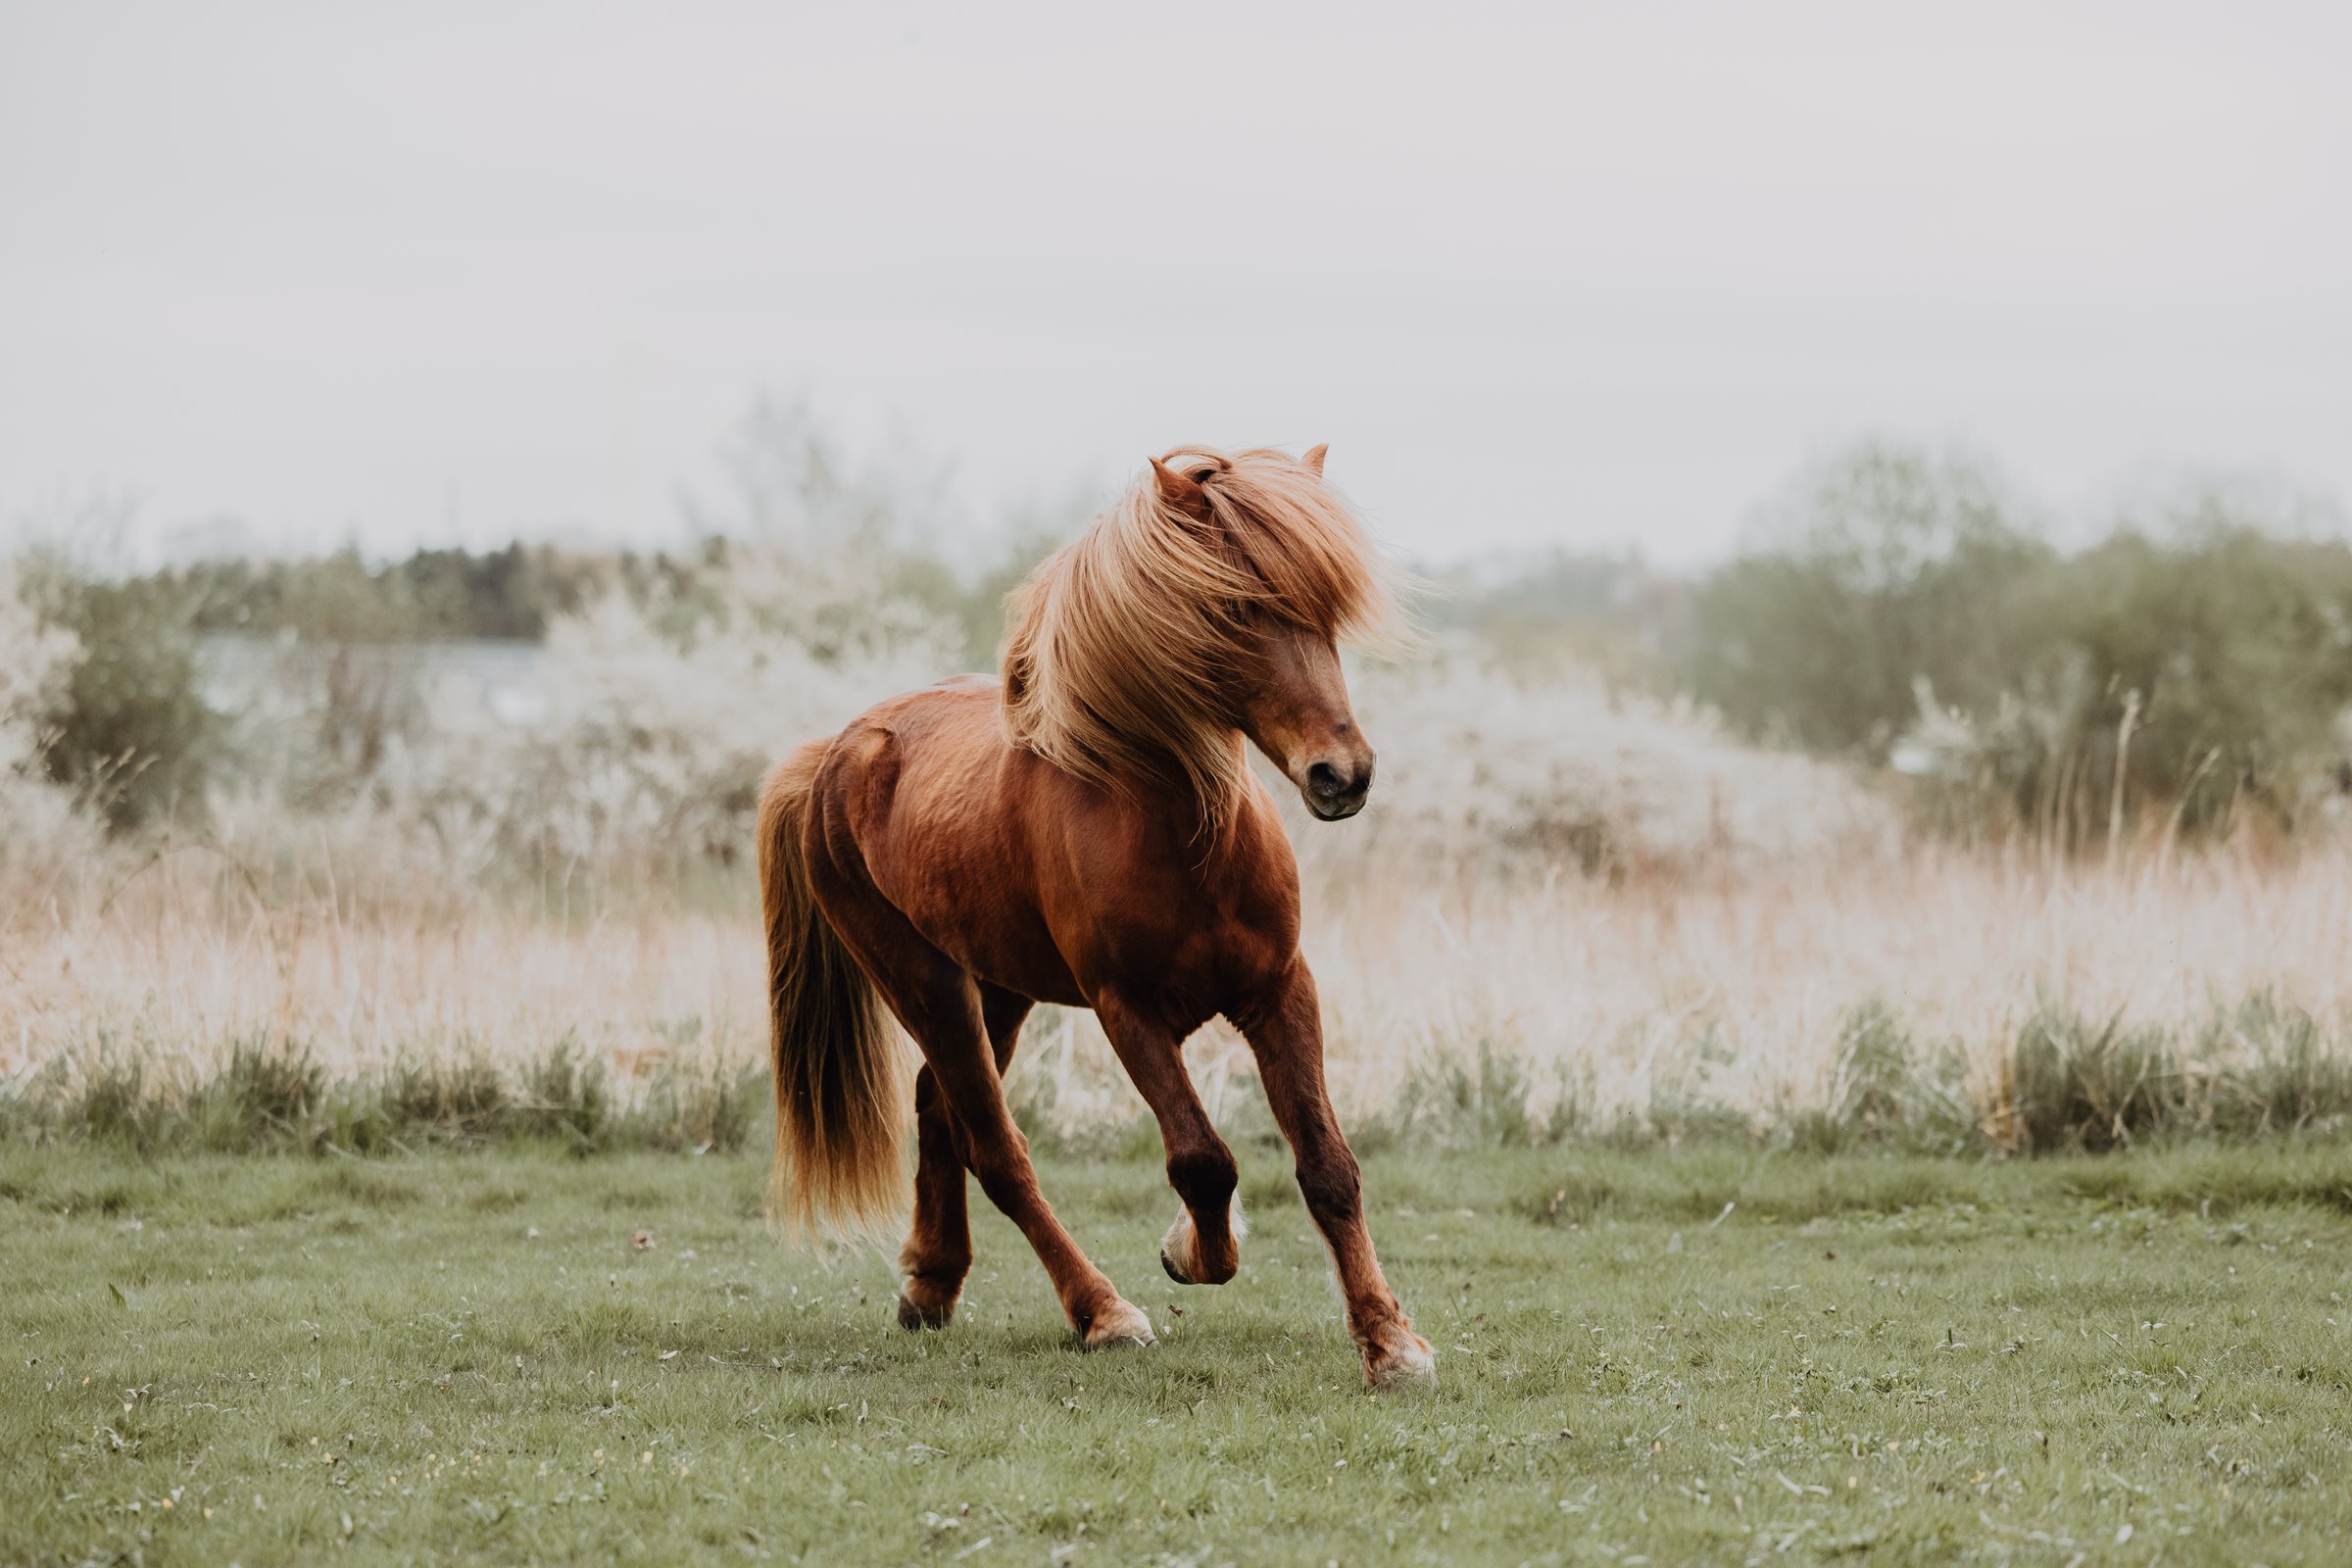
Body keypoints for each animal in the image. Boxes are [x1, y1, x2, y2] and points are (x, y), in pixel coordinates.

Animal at [756, 443, 1434, 1389]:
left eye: (1328, 612)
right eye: (1234, 609)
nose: (1343, 774)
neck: (1183, 835)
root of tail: (836, 753)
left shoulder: (1280, 991)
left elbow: (1328, 1167)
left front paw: (1389, 1342)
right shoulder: (1128, 1011)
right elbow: (1203, 1161)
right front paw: (1193, 1252)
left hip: (998, 989)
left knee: (939, 1111)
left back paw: (931, 1284)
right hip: (924, 983)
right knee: (995, 1148)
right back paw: (1102, 1312)